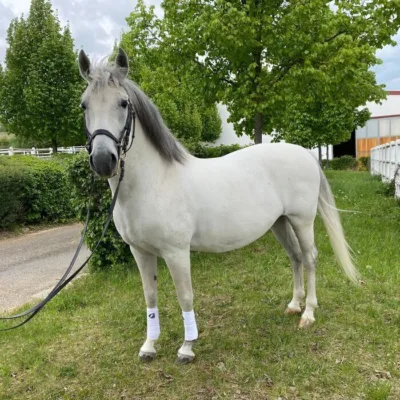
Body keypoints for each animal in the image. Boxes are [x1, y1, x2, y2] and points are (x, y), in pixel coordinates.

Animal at [78, 48, 360, 364]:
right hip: (280, 223)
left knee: (310, 258)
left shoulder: (176, 252)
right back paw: (293, 305)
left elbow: (185, 296)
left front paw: (187, 347)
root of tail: (305, 153)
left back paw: (308, 314)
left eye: (124, 103)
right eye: (84, 105)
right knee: (296, 257)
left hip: (302, 220)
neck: (154, 182)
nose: (103, 160)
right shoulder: (139, 251)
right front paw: (149, 346)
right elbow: (150, 296)